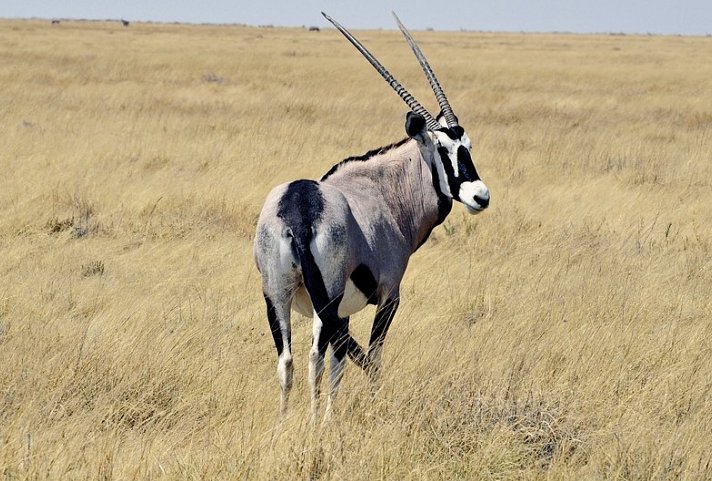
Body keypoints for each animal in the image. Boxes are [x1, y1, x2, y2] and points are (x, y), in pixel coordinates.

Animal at [252, 11, 490, 416]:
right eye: (443, 149)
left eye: (467, 146)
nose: (480, 196)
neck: (385, 192)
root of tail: (300, 210)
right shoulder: (389, 295)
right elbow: (370, 356)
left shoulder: (342, 312)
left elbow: (341, 361)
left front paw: (332, 415)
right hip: (325, 300)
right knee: (316, 357)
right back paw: (311, 421)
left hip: (277, 295)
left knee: (288, 360)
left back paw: (285, 422)